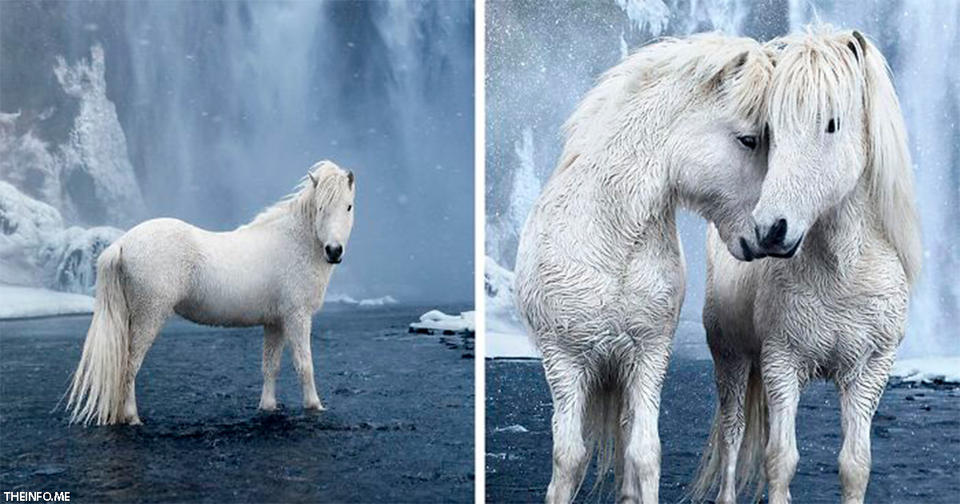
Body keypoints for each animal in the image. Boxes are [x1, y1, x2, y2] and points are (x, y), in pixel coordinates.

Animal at [66, 160, 356, 426]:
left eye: (348, 206)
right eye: (321, 207)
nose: (334, 251)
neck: (293, 243)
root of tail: (122, 243)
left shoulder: (275, 322)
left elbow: (270, 366)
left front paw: (268, 407)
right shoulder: (297, 317)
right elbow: (305, 364)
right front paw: (314, 406)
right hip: (149, 316)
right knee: (129, 366)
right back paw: (132, 418)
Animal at [512, 33, 776, 502]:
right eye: (748, 140)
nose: (769, 235)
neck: (610, 243)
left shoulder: (648, 357)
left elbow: (644, 454)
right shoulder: (564, 362)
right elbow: (568, 459)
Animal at [692, 28, 920, 504]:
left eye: (832, 123)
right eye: (771, 130)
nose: (769, 230)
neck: (843, 275)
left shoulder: (869, 372)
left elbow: (855, 465)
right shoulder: (782, 363)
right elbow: (780, 460)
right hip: (730, 358)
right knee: (733, 435)